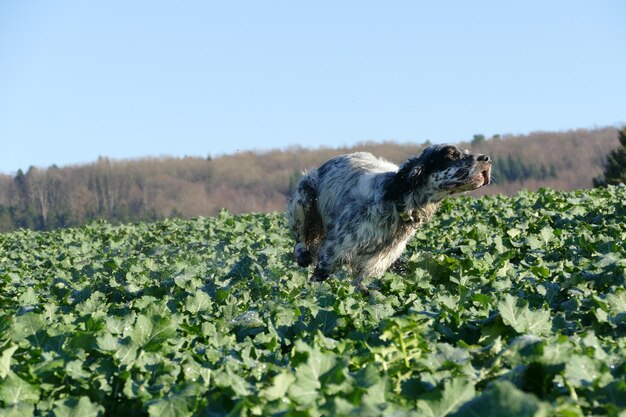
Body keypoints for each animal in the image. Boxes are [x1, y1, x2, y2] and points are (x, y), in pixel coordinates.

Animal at [286, 143, 490, 290]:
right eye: (451, 154)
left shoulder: (377, 263)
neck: (396, 204)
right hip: (304, 195)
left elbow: (363, 287)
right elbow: (318, 281)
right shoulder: (332, 252)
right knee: (300, 238)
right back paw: (302, 254)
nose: (486, 158)